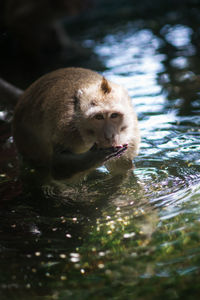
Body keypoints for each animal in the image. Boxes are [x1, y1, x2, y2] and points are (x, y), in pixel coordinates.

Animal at [12, 67, 141, 180]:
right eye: (98, 117)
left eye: (114, 115)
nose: (109, 135)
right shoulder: (67, 128)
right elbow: (58, 165)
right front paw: (97, 156)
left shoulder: (131, 134)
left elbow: (121, 170)